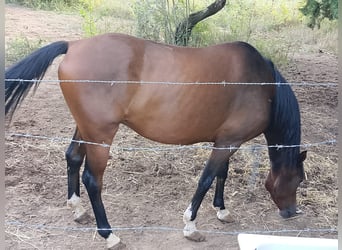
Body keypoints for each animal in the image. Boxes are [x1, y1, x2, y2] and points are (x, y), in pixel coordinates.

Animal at [5, 32, 306, 248]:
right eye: (299, 179)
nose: (292, 212)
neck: (262, 85)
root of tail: (74, 45)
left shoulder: (226, 140)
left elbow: (222, 174)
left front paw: (221, 210)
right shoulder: (228, 142)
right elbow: (206, 179)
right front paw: (190, 226)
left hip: (86, 129)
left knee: (73, 157)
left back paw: (78, 210)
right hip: (101, 135)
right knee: (92, 179)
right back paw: (109, 235)